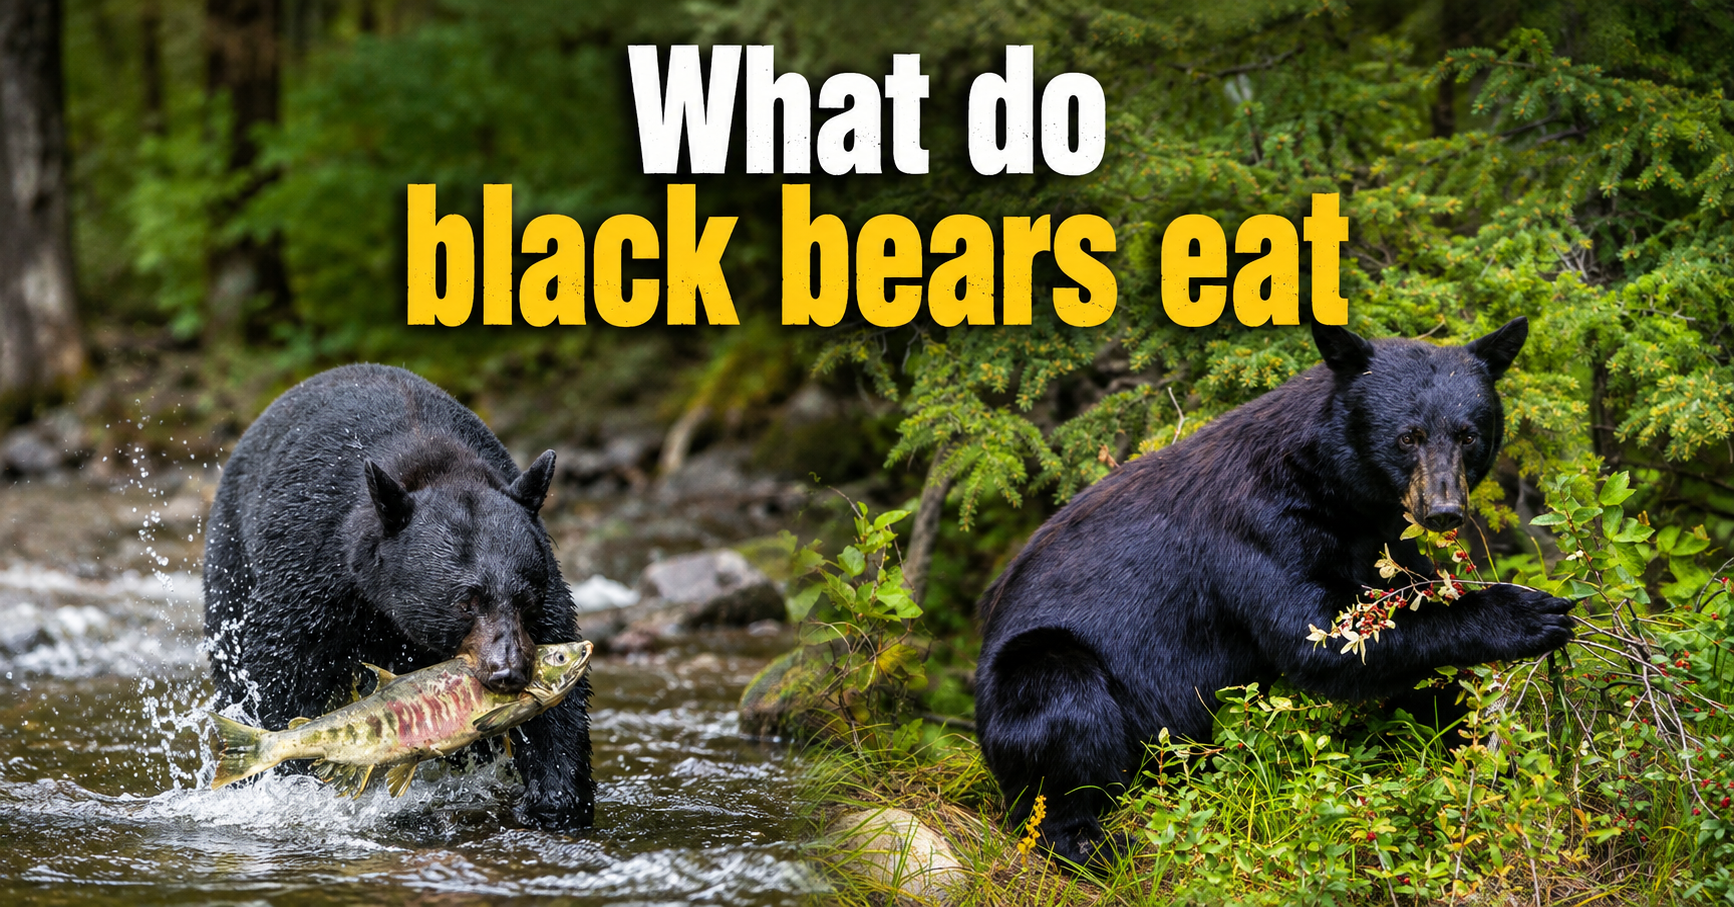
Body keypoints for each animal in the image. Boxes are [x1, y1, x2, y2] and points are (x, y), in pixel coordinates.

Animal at [202, 363, 592, 829]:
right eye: (465, 603)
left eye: (526, 600)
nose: (510, 672)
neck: (435, 464)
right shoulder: (313, 568)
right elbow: (283, 668)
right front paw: (296, 781)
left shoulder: (545, 580)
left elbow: (560, 711)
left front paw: (556, 800)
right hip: (231, 559)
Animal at [973, 318, 1574, 866]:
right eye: (1408, 436)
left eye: (1469, 435)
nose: (1445, 509)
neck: (1336, 488)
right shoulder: (1261, 523)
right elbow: (1322, 636)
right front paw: (1527, 614)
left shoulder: (1377, 534)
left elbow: (1403, 609)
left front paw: (1484, 755)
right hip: (1034, 676)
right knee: (1059, 715)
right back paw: (1090, 840)